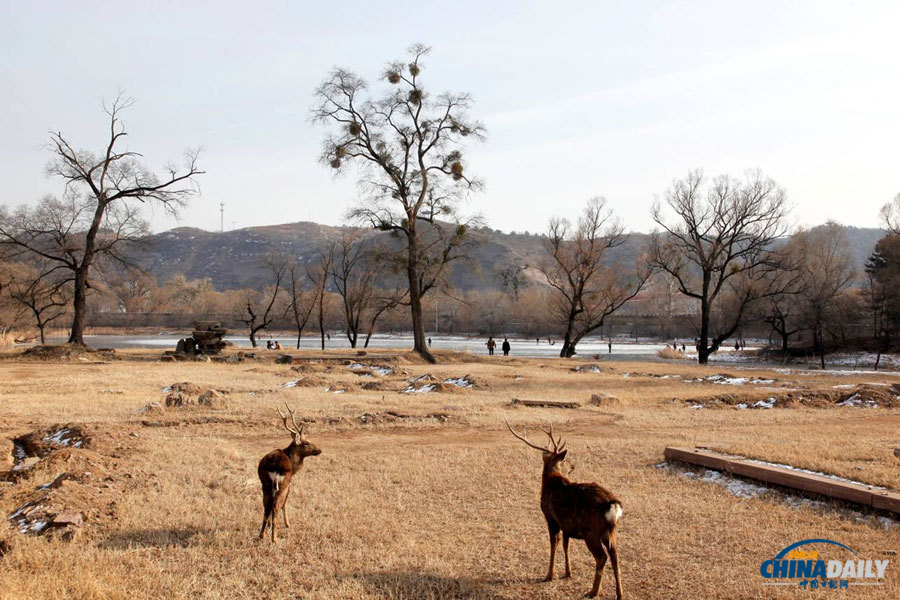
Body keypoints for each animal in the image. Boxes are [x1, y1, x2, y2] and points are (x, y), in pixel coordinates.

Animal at [255, 404, 322, 544]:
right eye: (306, 442)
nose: (319, 450)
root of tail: (274, 466)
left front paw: (269, 526)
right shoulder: (290, 482)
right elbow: (285, 504)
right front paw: (287, 524)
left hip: (265, 484)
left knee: (266, 506)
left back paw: (262, 535)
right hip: (282, 485)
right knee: (276, 507)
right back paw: (274, 538)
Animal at [506, 422, 624, 600]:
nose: (572, 466)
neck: (550, 482)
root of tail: (612, 505)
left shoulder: (550, 518)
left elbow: (554, 544)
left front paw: (549, 575)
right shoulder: (566, 525)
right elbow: (566, 545)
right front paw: (568, 572)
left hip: (591, 531)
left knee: (602, 557)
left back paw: (593, 591)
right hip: (610, 531)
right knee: (615, 556)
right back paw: (619, 593)